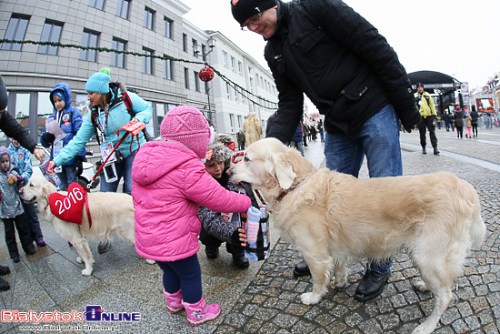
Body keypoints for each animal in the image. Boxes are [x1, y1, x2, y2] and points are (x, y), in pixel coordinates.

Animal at [230, 137, 484, 332]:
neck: (295, 187)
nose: (229, 170)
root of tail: (465, 188)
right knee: (443, 287)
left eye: (246, 158)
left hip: (428, 255)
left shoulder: (314, 254)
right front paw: (340, 282)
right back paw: (424, 286)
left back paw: (427, 325)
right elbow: (339, 266)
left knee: (446, 296)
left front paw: (313, 297)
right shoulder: (336, 249)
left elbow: (318, 279)